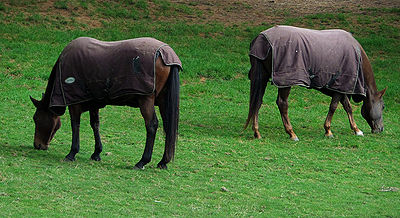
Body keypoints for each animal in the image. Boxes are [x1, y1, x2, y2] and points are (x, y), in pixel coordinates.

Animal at [30, 37, 180, 170]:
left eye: (36, 119)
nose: (37, 145)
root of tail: (165, 53)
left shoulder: (75, 104)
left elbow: (75, 124)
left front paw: (72, 153)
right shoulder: (94, 102)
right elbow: (95, 124)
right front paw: (97, 152)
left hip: (146, 100)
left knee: (152, 125)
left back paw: (142, 161)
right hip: (163, 100)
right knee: (168, 127)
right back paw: (163, 161)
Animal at [245, 25, 386, 141]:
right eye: (383, 106)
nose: (380, 129)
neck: (358, 56)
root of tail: (262, 39)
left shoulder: (341, 87)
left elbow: (348, 107)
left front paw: (356, 129)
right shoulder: (340, 85)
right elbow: (334, 106)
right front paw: (328, 130)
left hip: (262, 77)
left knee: (257, 102)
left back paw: (257, 132)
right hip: (286, 81)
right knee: (282, 104)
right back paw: (291, 133)